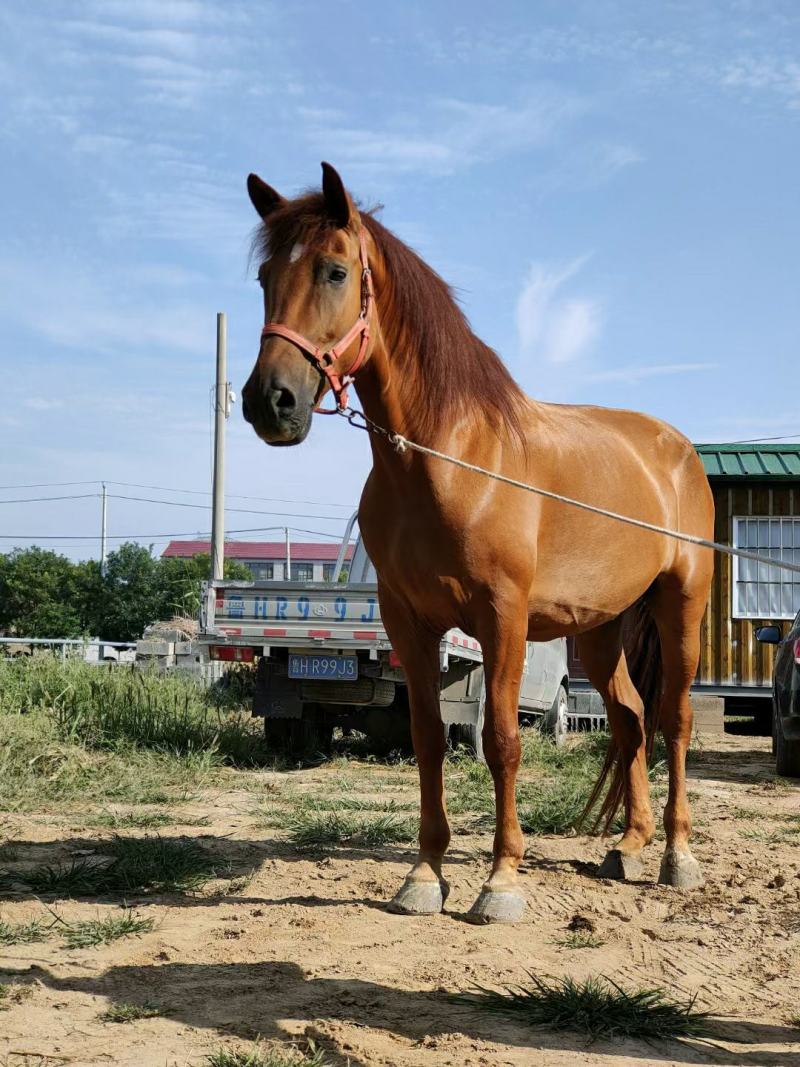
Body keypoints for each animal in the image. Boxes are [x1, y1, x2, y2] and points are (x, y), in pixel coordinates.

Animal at [241, 162, 715, 924]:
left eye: (335, 271)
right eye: (264, 277)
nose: (269, 402)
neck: (453, 458)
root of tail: (676, 448)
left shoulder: (503, 618)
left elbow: (501, 740)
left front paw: (501, 879)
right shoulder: (409, 621)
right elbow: (428, 738)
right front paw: (425, 874)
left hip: (681, 604)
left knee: (674, 717)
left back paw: (677, 855)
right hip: (600, 628)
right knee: (631, 718)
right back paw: (630, 845)